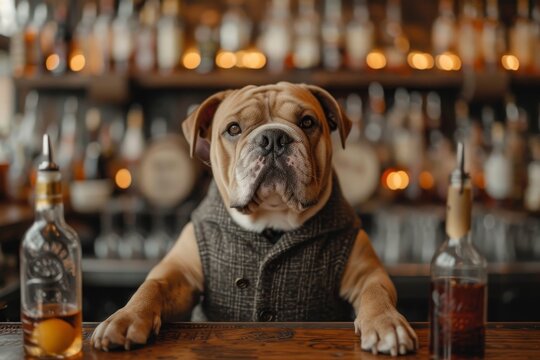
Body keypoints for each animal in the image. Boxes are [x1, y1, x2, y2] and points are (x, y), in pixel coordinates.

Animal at [92, 83, 418, 356]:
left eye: (307, 122)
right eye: (233, 129)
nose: (273, 137)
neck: (272, 219)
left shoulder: (368, 273)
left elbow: (377, 294)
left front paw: (387, 324)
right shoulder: (177, 274)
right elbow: (150, 289)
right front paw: (125, 318)